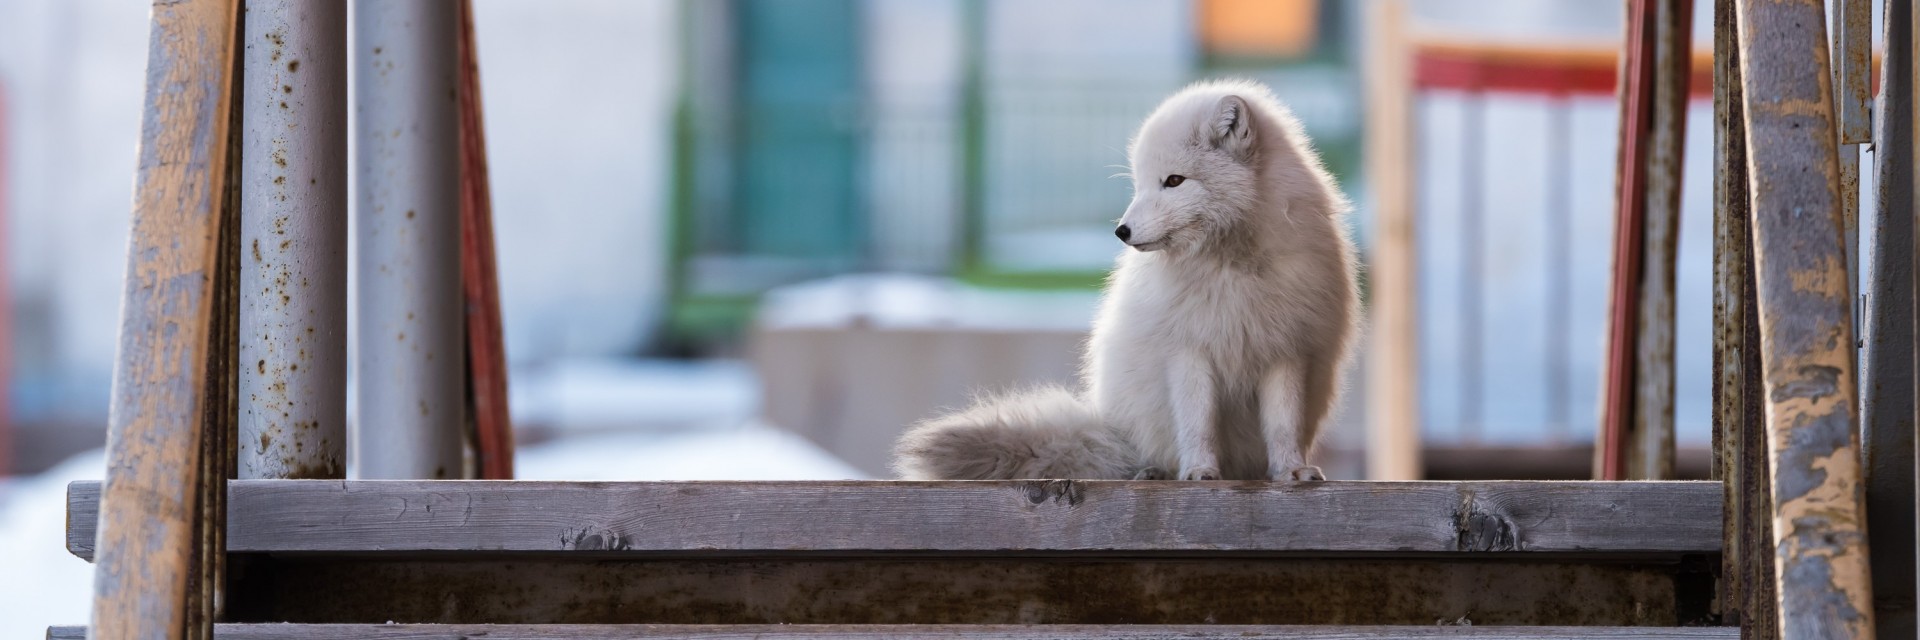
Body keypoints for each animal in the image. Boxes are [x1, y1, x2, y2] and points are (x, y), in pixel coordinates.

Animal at [890, 79, 1359, 478]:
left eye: (1174, 181)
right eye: (1139, 185)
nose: (1121, 231)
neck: (1234, 267)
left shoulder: (1287, 351)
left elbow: (1283, 426)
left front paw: (1291, 471)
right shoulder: (1187, 352)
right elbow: (1198, 425)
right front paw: (1200, 473)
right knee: (1145, 454)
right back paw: (1153, 471)